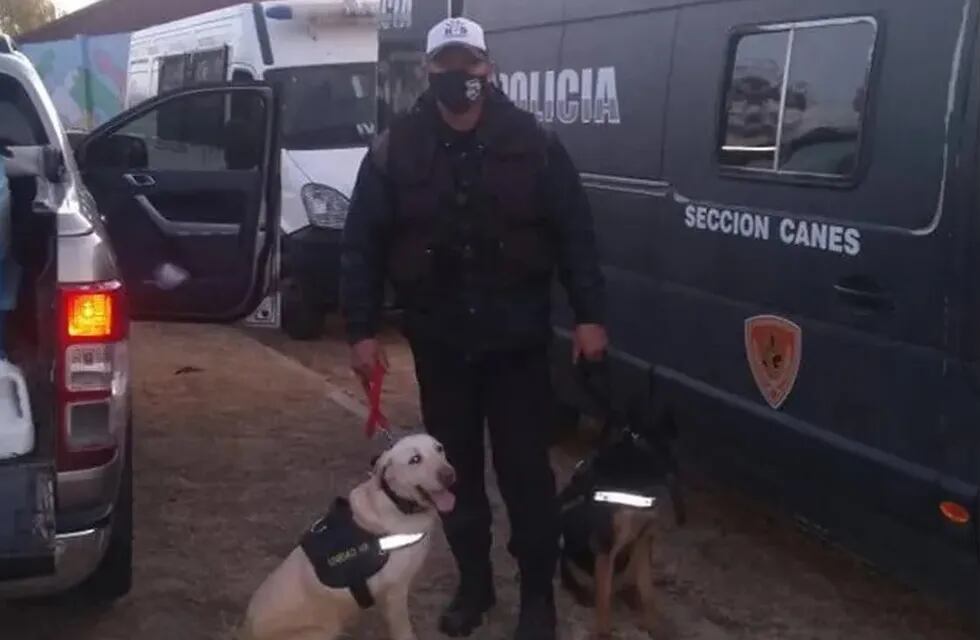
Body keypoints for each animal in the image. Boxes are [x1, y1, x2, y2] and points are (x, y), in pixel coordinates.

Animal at [245, 436, 460, 640]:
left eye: (439, 449)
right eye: (415, 460)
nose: (449, 475)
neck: (396, 502)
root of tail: (245, 630)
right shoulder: (396, 591)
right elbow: (403, 630)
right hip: (321, 632)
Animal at [556, 362, 684, 636]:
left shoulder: (644, 540)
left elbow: (648, 592)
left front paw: (653, 625)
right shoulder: (606, 545)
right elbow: (603, 600)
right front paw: (603, 632)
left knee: (632, 584)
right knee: (584, 584)